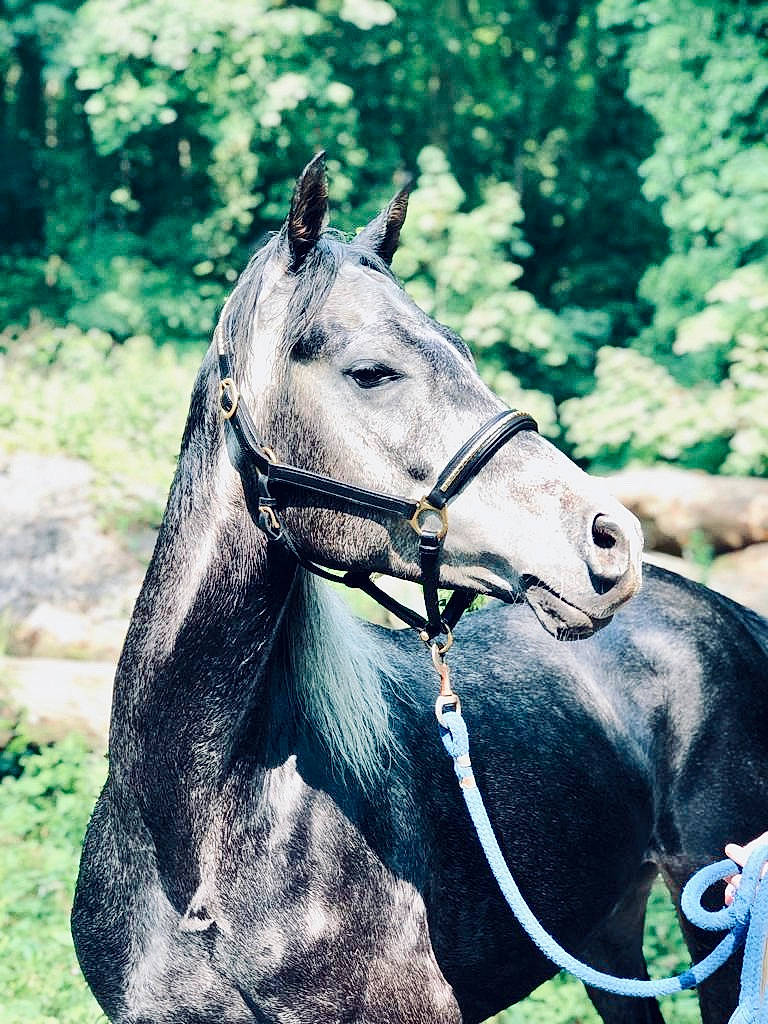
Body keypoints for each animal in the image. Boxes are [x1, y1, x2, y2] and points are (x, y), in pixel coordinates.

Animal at [72, 155, 768, 1024]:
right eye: (371, 372)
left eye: (463, 352)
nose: (612, 539)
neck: (192, 847)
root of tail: (731, 618)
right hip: (608, 932)